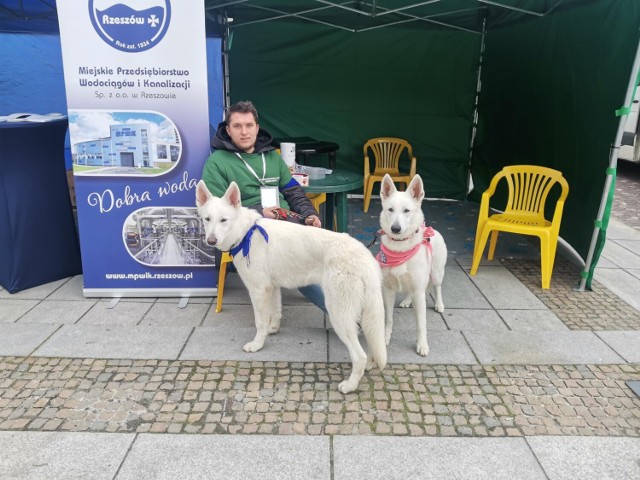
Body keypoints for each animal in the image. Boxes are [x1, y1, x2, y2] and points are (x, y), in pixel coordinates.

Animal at [195, 180, 384, 394]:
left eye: (224, 220)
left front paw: (258, 344)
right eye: (208, 219)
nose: (211, 240)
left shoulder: (258, 291)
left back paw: (351, 385)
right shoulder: (272, 288)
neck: (245, 233)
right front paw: (273, 329)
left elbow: (260, 322)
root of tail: (364, 257)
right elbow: (275, 312)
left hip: (338, 314)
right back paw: (371, 363)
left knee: (358, 355)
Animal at [378, 173, 448, 356]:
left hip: (436, 274)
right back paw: (407, 301)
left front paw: (422, 345)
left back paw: (439, 304)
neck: (400, 247)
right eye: (390, 209)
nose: (395, 229)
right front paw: (385, 337)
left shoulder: (419, 291)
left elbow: (421, 324)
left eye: (406, 211)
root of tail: (434, 230)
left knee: (438, 288)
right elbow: (388, 318)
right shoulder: (388, 290)